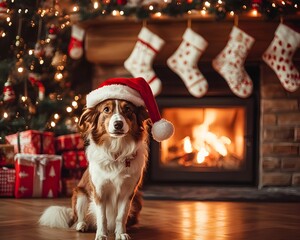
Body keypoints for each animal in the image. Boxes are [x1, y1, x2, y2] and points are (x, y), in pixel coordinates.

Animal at [39, 77, 175, 240]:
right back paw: (82, 225)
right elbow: (102, 217)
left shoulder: (128, 193)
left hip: (137, 200)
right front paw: (101, 234)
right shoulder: (99, 191)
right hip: (80, 194)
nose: (118, 124)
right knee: (80, 216)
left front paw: (121, 233)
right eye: (106, 110)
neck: (116, 152)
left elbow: (121, 216)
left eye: (128, 109)